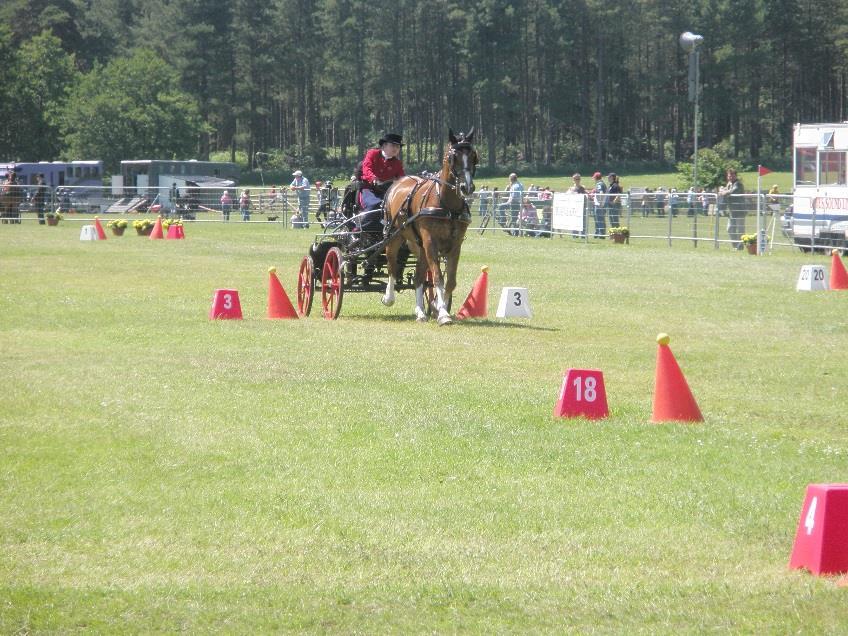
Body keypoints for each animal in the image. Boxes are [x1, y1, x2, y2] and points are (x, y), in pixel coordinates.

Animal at [382, 130, 476, 328]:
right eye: (453, 157)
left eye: (473, 155)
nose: (467, 187)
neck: (447, 204)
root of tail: (397, 182)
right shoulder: (431, 241)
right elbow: (438, 277)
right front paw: (443, 314)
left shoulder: (455, 245)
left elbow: (450, 281)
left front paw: (439, 307)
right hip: (395, 237)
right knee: (392, 265)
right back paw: (388, 298)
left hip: (419, 245)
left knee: (419, 277)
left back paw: (420, 312)